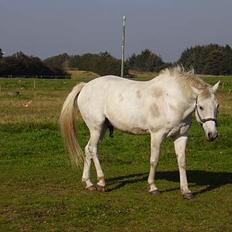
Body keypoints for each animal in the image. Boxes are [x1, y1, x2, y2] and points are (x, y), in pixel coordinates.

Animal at [59, 66, 219, 199]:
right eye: (201, 106)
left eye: (217, 106)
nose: (213, 135)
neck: (171, 101)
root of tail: (86, 86)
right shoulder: (157, 135)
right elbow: (154, 160)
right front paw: (153, 187)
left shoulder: (181, 136)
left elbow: (182, 162)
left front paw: (186, 190)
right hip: (96, 128)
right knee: (93, 150)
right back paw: (101, 182)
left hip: (102, 129)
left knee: (88, 150)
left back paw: (88, 183)